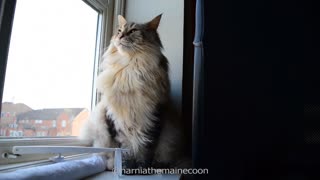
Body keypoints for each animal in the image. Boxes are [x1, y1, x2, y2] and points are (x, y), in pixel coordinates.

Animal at [79, 13, 188, 170]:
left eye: (133, 31)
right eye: (119, 31)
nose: (120, 36)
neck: (130, 69)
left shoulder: (153, 117)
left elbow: (145, 149)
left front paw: (142, 168)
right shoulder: (116, 120)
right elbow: (124, 150)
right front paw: (126, 168)